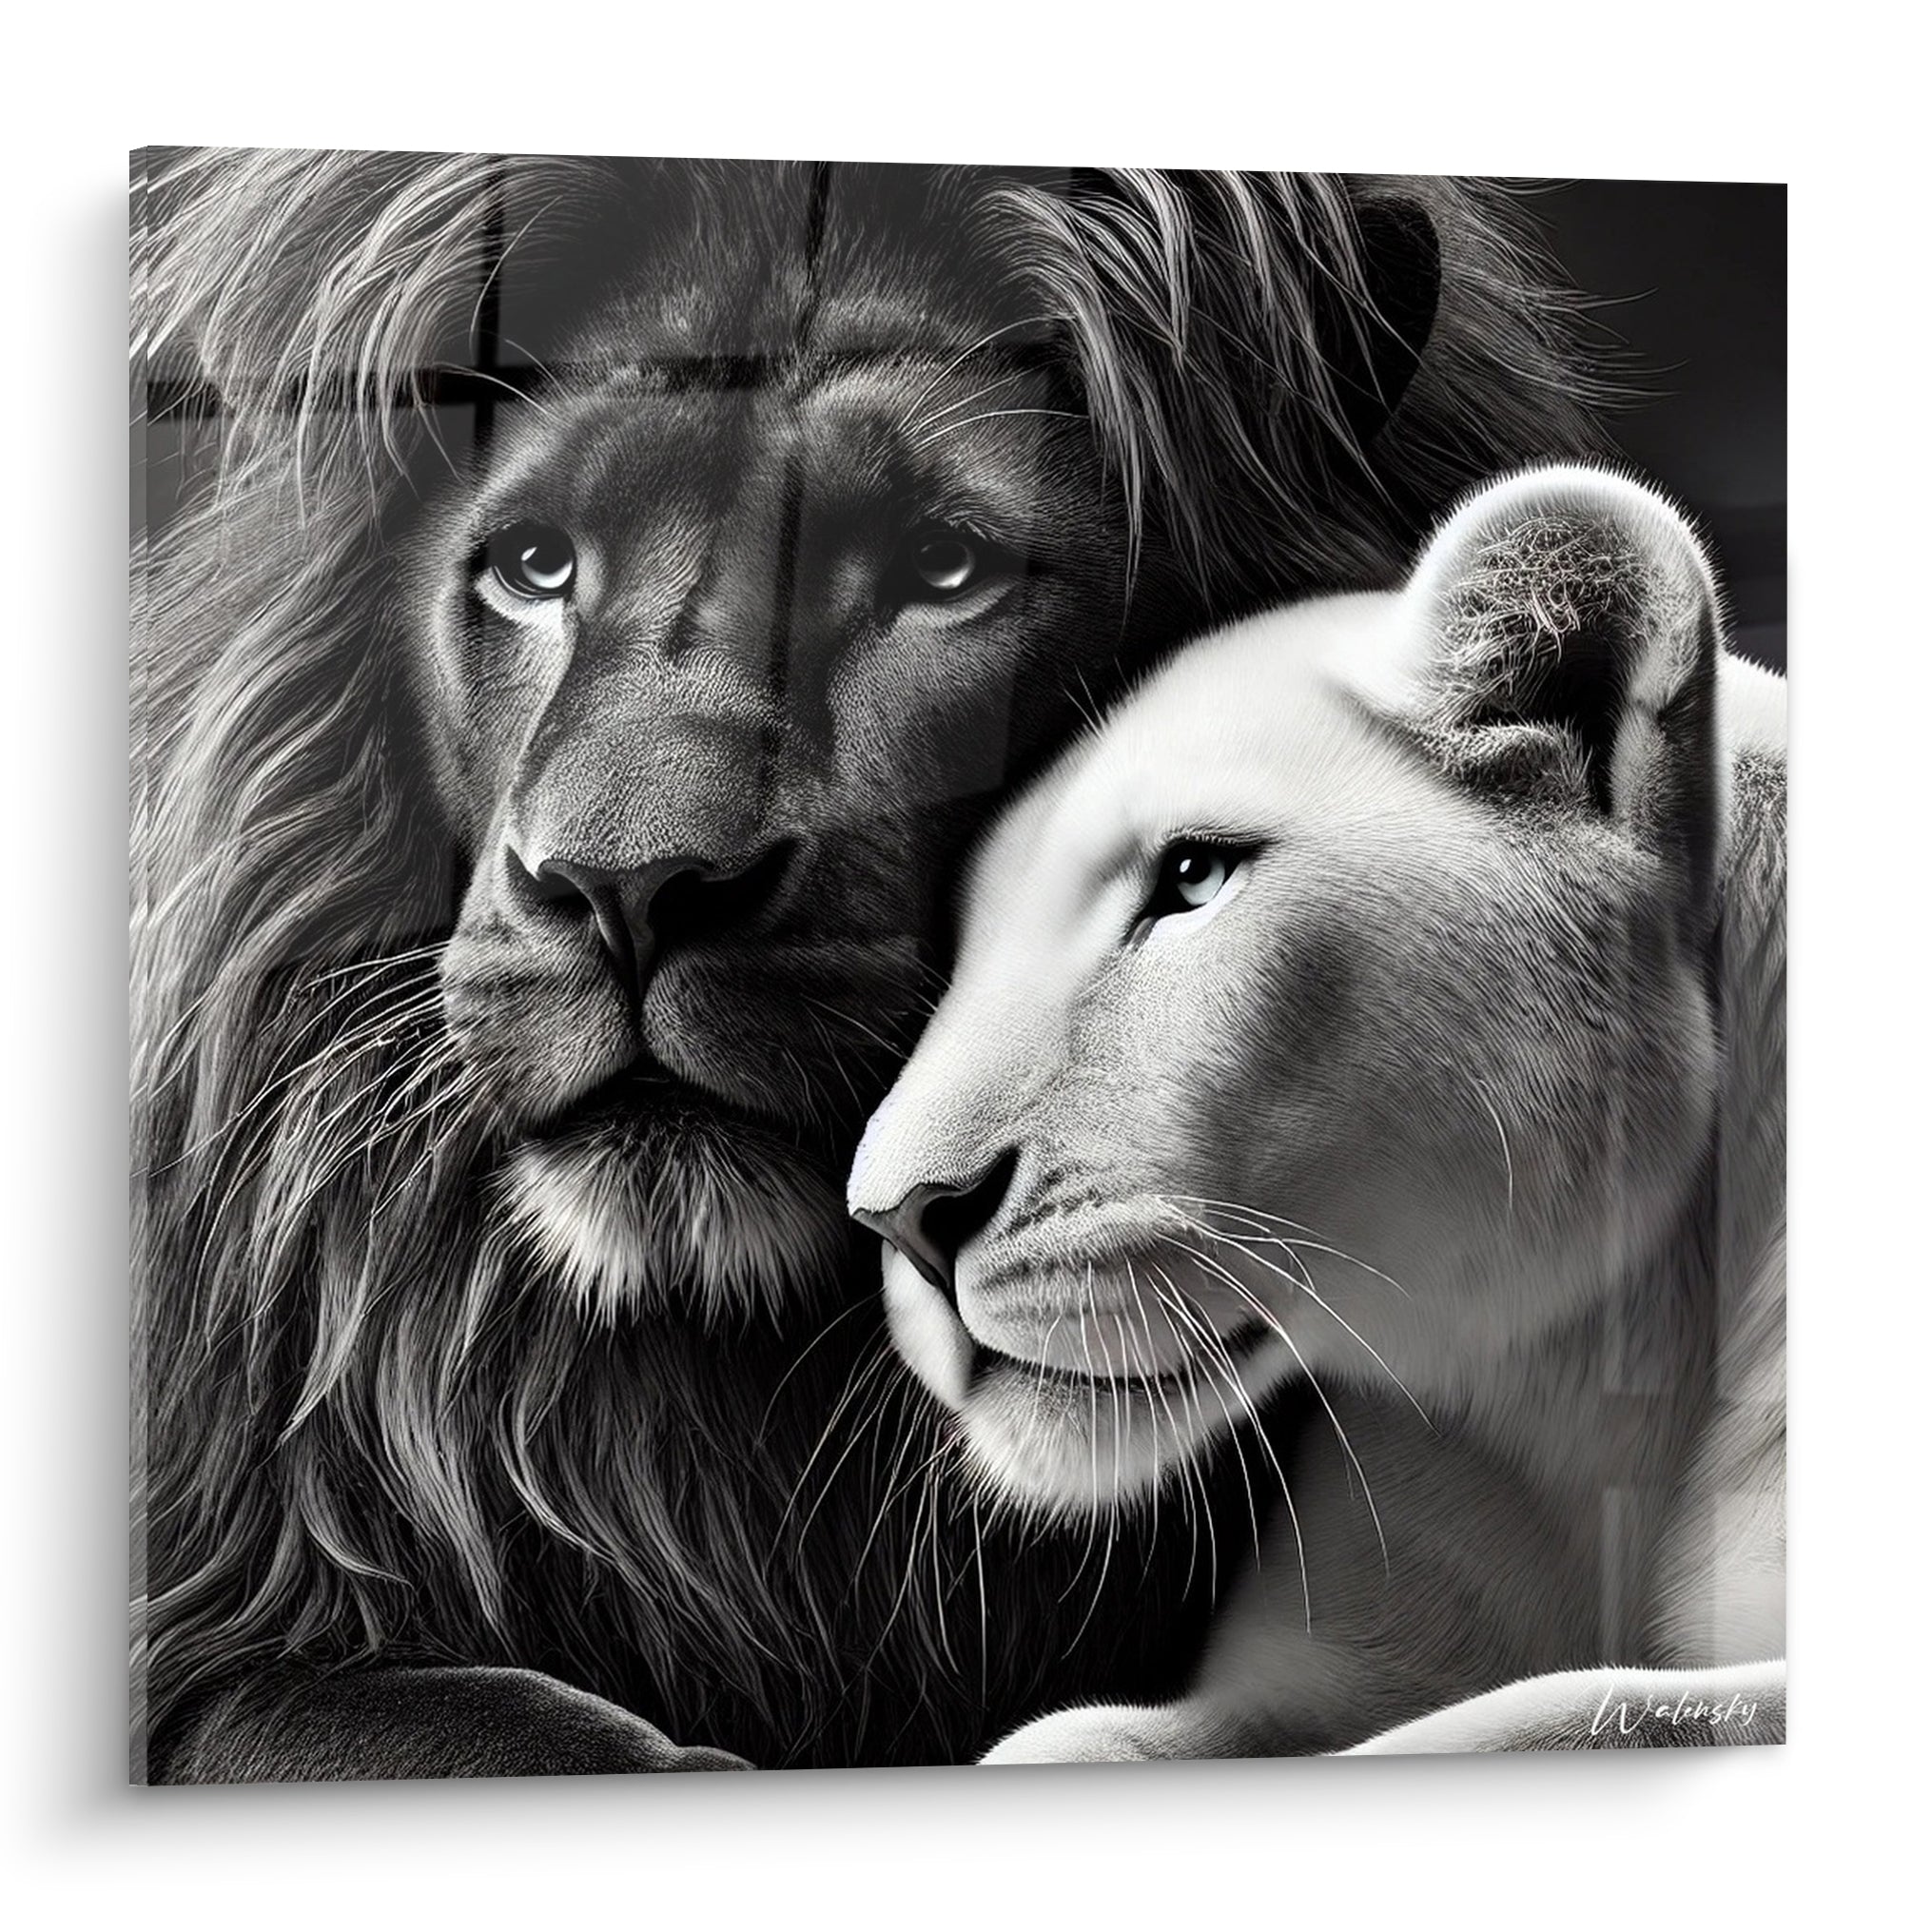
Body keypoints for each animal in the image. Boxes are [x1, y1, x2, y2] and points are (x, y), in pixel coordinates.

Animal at [848, 466, 1784, 1759]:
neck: (1590, 1379)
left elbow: (1572, 1715)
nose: (898, 1216)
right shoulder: (1337, 1657)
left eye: (1194, 877)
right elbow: (1069, 1738)